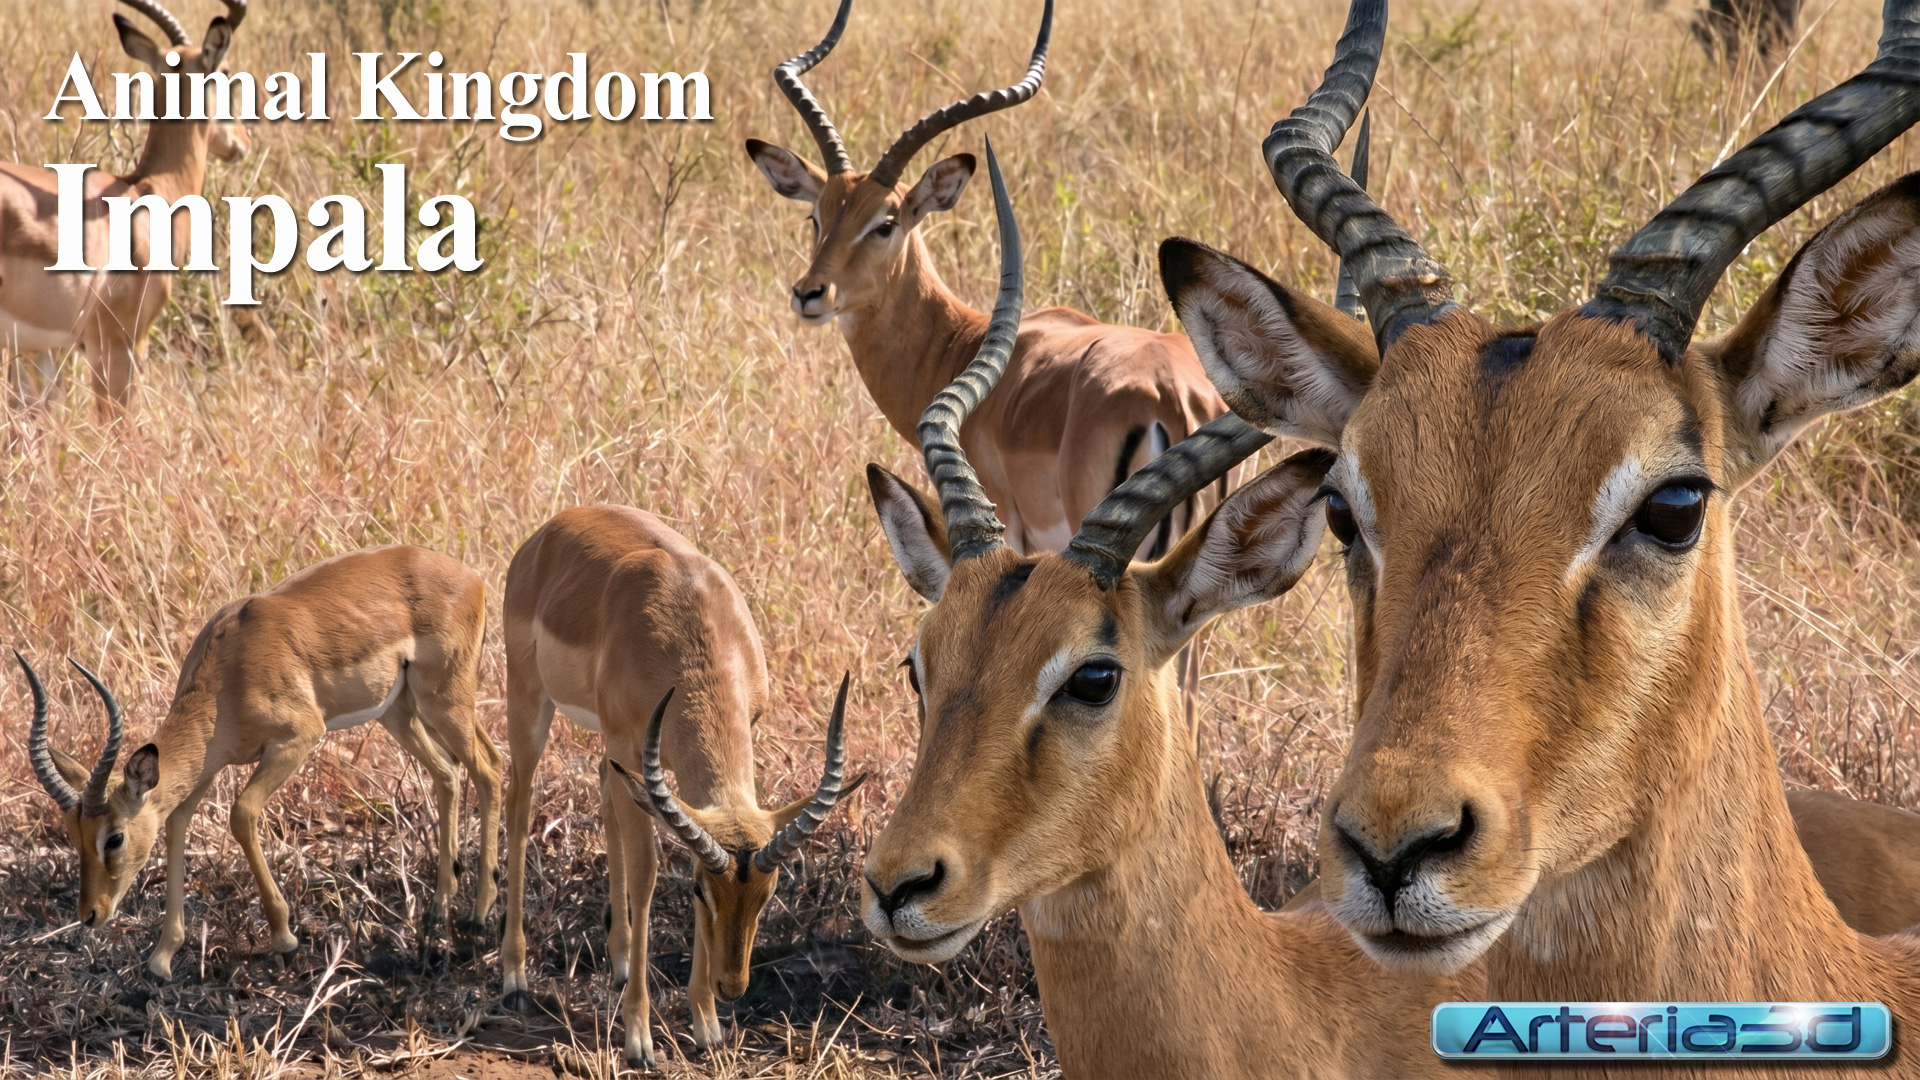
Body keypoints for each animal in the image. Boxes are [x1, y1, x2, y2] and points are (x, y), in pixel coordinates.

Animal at [14, 545, 502, 979]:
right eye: (73, 835)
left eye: (113, 838)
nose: (90, 914)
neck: (231, 672)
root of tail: (472, 577)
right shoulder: (208, 766)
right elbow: (175, 825)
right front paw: (161, 959)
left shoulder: (297, 739)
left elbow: (242, 813)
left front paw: (285, 939)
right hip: (399, 710)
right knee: (447, 772)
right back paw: (439, 908)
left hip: (444, 701)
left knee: (490, 767)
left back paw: (479, 915)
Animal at [499, 506, 860, 1067]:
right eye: (699, 890)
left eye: (769, 892)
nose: (732, 987)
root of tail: (548, 533)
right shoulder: (629, 742)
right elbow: (646, 874)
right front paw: (639, 1040)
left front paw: (707, 1025)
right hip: (530, 701)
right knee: (518, 800)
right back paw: (514, 978)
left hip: (608, 750)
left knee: (604, 796)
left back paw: (622, 962)